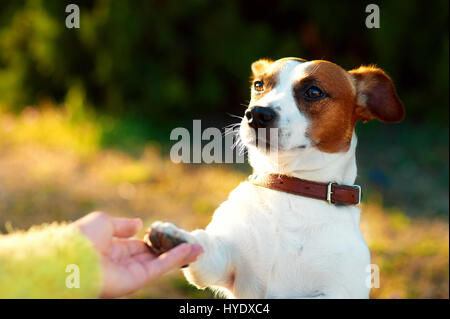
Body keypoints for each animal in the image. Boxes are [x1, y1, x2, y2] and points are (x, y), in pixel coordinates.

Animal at [145, 58, 404, 300]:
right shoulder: (222, 261)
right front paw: (177, 238)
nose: (257, 114)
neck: (290, 187)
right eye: (259, 85)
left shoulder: (338, 291)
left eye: (313, 92)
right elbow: (203, 246)